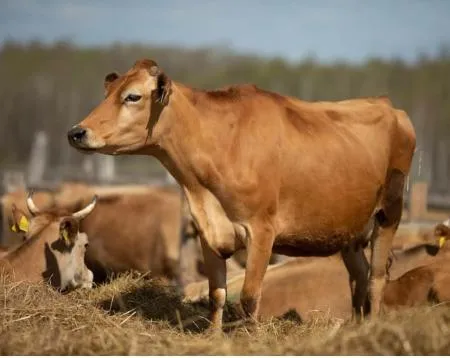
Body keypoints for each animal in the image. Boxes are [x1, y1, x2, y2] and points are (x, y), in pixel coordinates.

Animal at [67, 58, 418, 330]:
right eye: (109, 92)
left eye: (133, 96)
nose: (76, 132)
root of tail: (387, 105)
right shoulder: (207, 229)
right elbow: (217, 294)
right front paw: (214, 336)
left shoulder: (262, 230)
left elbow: (249, 296)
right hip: (350, 231)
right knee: (358, 278)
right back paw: (355, 327)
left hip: (390, 213)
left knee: (376, 278)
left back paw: (370, 328)